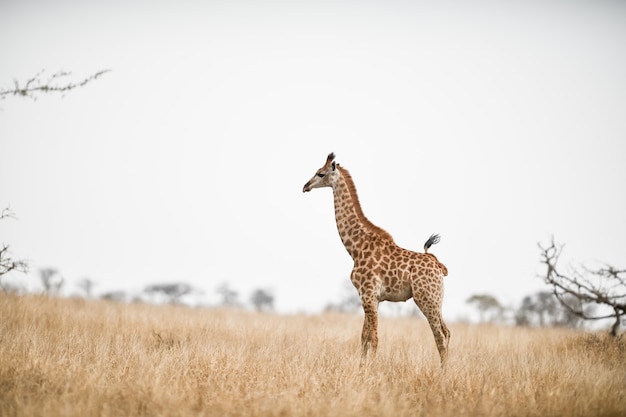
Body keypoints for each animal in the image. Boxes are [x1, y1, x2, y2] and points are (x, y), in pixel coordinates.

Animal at [302, 153, 448, 364]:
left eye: (320, 173)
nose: (305, 186)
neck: (355, 247)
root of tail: (439, 266)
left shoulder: (369, 294)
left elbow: (374, 337)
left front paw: (371, 367)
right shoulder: (370, 296)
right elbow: (364, 336)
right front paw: (361, 367)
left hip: (426, 298)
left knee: (440, 336)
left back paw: (444, 371)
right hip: (437, 300)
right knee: (447, 332)